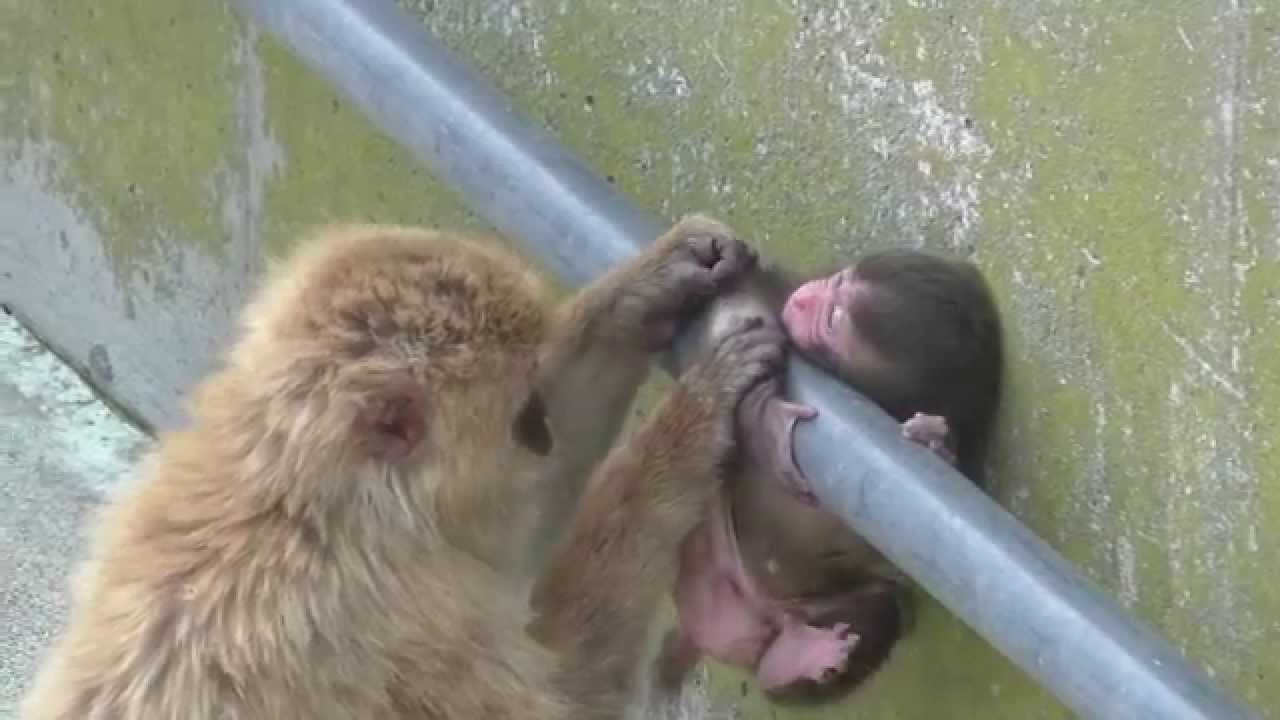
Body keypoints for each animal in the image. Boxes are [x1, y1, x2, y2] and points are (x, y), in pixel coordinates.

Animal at [21, 216, 787, 720]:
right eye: (525, 417)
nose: (540, 435)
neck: (304, 503)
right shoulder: (406, 625)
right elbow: (576, 699)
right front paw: (697, 414)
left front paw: (653, 286)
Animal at [653, 248, 1003, 705]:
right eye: (840, 280)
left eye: (834, 319)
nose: (806, 298)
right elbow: (737, 299)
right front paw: (758, 411)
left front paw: (935, 445)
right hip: (700, 558)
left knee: (882, 606)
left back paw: (794, 659)